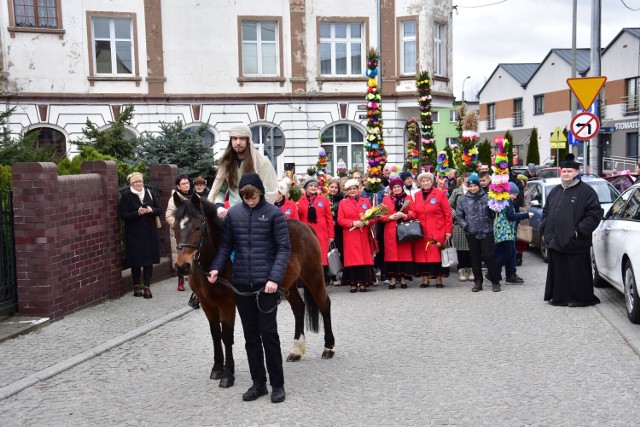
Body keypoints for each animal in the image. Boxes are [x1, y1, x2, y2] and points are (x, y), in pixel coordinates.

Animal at [172, 193, 338, 388]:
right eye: (174, 227)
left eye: (198, 227)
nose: (182, 266)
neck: (214, 262)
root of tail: (305, 227)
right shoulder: (207, 304)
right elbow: (215, 335)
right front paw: (217, 368)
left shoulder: (227, 304)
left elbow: (226, 335)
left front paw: (228, 374)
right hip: (288, 284)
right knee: (299, 307)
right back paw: (296, 350)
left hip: (313, 275)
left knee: (324, 304)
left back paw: (329, 347)